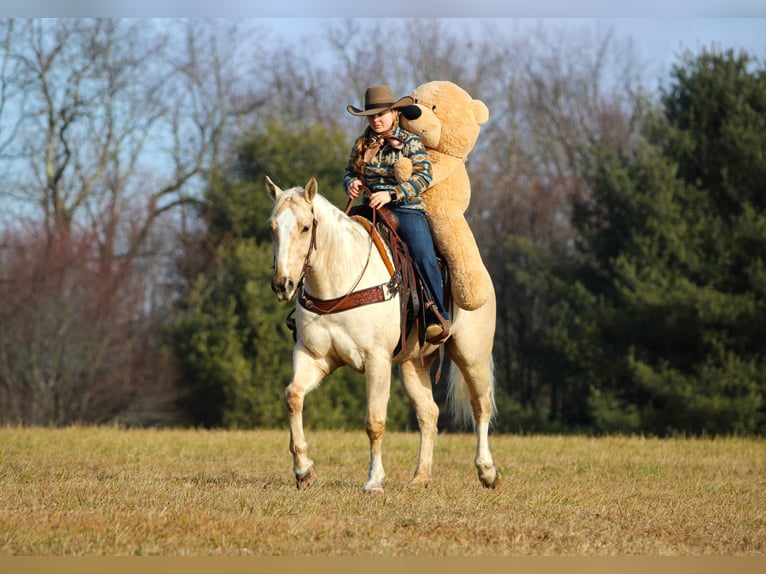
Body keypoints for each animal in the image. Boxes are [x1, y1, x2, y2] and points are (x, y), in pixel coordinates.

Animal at [266, 175, 499, 493]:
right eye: (272, 227)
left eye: (305, 226)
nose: (282, 284)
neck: (340, 280)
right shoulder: (312, 356)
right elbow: (293, 396)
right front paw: (304, 471)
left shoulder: (377, 361)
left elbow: (374, 422)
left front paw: (374, 481)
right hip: (413, 365)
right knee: (429, 413)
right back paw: (420, 477)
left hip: (472, 355)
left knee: (481, 406)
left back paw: (487, 471)